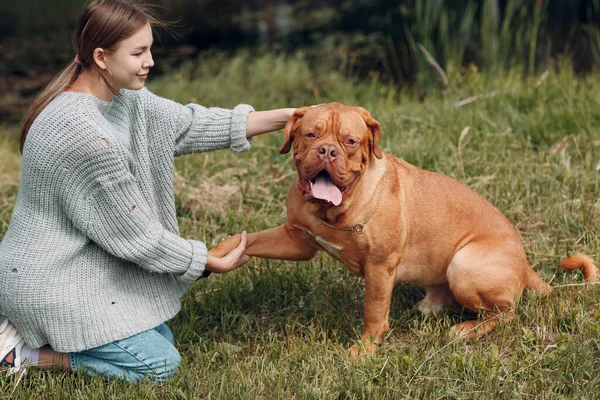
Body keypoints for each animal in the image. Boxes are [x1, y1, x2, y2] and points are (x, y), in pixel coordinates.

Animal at [209, 101, 596, 354]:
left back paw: (466, 330)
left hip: (465, 265)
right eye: (310, 134)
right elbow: (242, 238)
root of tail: (526, 264)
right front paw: (214, 255)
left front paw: (364, 351)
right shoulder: (296, 239)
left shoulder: (380, 267)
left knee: (507, 312)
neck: (336, 212)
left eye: (350, 141)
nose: (327, 151)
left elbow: (373, 310)